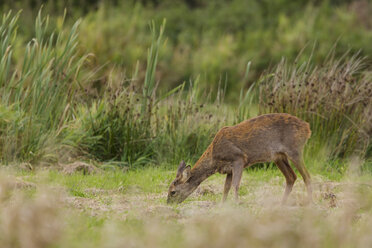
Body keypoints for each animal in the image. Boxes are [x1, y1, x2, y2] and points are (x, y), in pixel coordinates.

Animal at [167, 113, 312, 204]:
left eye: (173, 192)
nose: (169, 203)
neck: (214, 157)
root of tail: (308, 127)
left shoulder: (239, 158)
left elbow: (235, 185)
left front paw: (237, 203)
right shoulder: (228, 169)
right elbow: (226, 187)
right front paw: (223, 205)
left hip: (295, 150)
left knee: (307, 176)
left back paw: (310, 202)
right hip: (279, 157)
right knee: (291, 177)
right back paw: (282, 203)